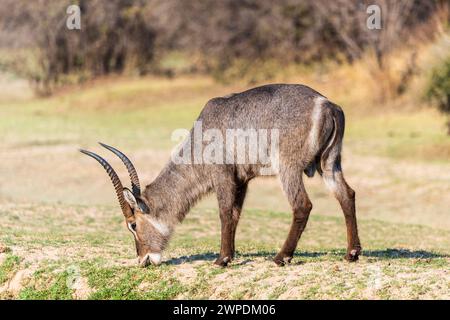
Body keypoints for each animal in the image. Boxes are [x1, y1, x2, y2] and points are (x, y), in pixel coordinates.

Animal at [80, 84, 362, 268]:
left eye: (133, 225)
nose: (143, 260)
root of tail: (327, 105)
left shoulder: (222, 175)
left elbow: (225, 212)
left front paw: (221, 259)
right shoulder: (243, 179)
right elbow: (235, 214)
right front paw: (231, 254)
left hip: (288, 167)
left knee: (302, 205)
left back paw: (282, 257)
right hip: (329, 163)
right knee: (347, 195)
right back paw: (352, 253)